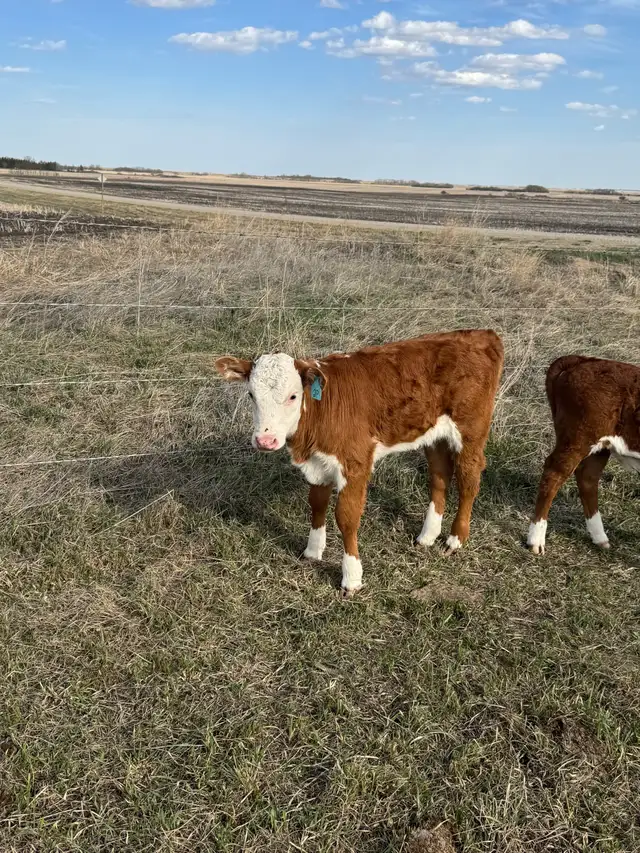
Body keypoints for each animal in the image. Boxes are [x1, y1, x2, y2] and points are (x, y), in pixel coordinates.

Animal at [216, 329, 504, 596]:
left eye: (293, 396)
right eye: (251, 395)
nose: (265, 440)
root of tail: (481, 334)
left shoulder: (355, 463)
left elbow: (346, 517)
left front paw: (352, 578)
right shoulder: (319, 463)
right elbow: (317, 504)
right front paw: (312, 551)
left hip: (471, 429)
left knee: (469, 479)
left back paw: (455, 539)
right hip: (434, 434)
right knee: (440, 476)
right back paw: (427, 536)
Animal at [527, 355, 640, 555]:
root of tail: (583, 360)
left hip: (600, 446)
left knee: (587, 477)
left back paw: (600, 538)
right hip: (578, 439)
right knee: (553, 474)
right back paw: (536, 539)